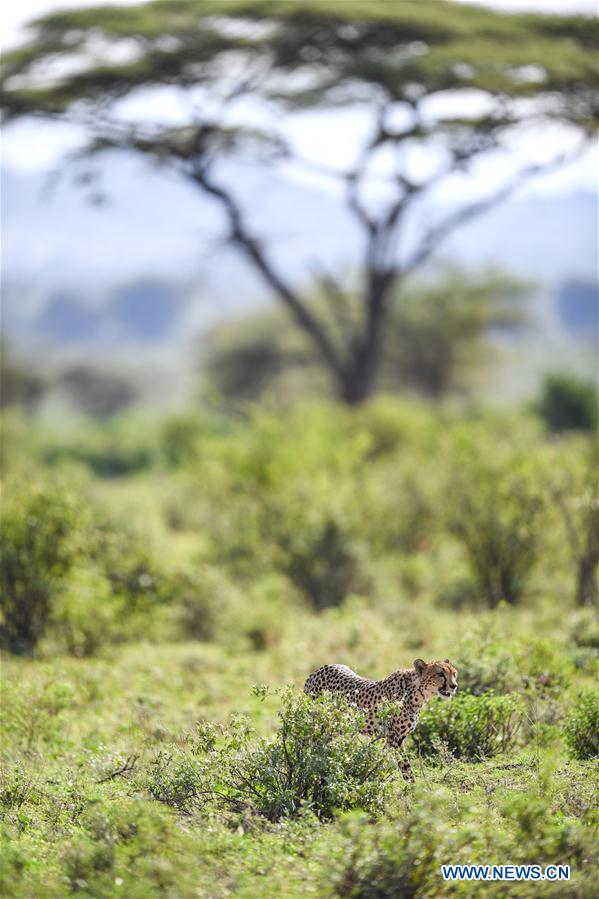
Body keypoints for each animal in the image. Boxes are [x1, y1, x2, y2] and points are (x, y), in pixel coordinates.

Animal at [304, 660, 460, 780]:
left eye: (454, 674)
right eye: (440, 674)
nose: (454, 686)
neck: (417, 693)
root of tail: (320, 669)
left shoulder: (391, 739)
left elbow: (381, 759)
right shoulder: (395, 738)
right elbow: (405, 767)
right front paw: (413, 790)